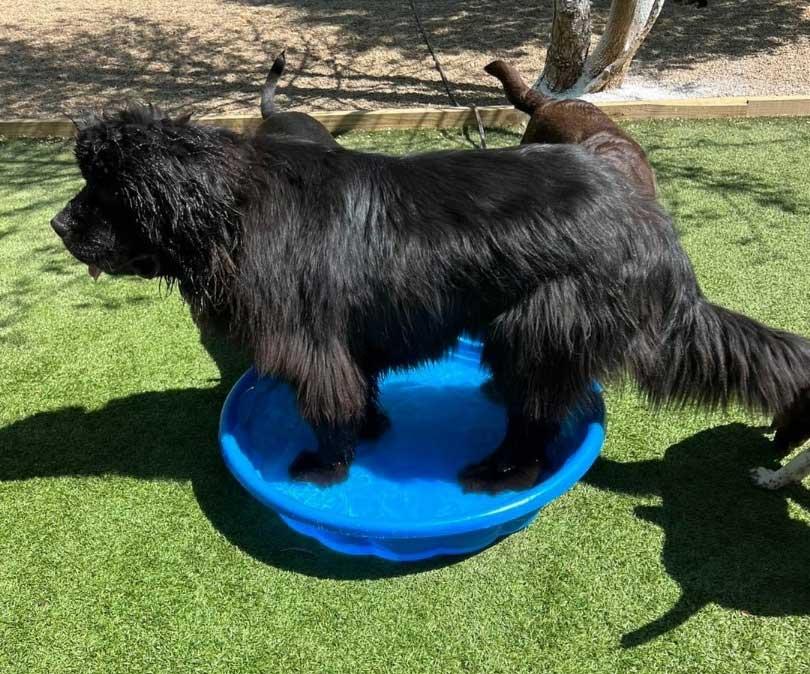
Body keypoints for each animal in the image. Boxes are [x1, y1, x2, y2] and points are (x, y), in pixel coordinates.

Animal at [50, 107, 808, 490]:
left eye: (107, 188)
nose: (58, 224)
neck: (231, 213)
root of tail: (652, 225)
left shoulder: (315, 343)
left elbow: (327, 405)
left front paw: (324, 465)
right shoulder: (349, 338)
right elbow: (359, 391)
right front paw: (372, 429)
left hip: (537, 321)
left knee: (536, 421)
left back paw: (499, 471)